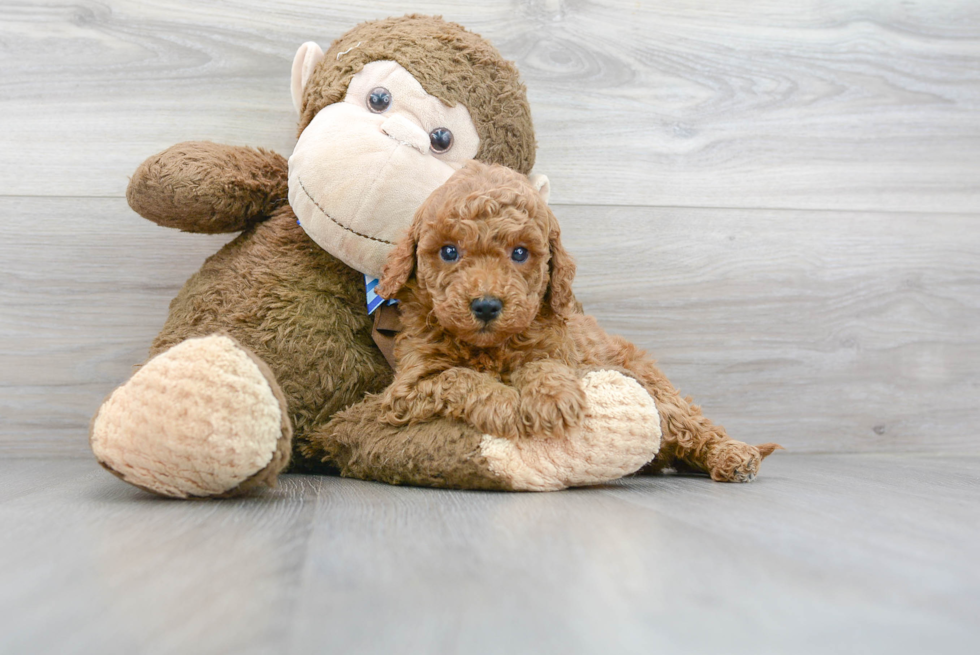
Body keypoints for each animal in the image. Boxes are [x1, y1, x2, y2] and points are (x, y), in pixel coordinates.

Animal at [376, 161, 780, 484]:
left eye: (519, 253)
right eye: (449, 251)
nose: (487, 306)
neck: (489, 348)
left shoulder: (561, 349)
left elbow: (545, 365)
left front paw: (553, 399)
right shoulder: (407, 389)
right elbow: (460, 378)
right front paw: (510, 407)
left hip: (657, 391)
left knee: (693, 427)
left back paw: (734, 456)